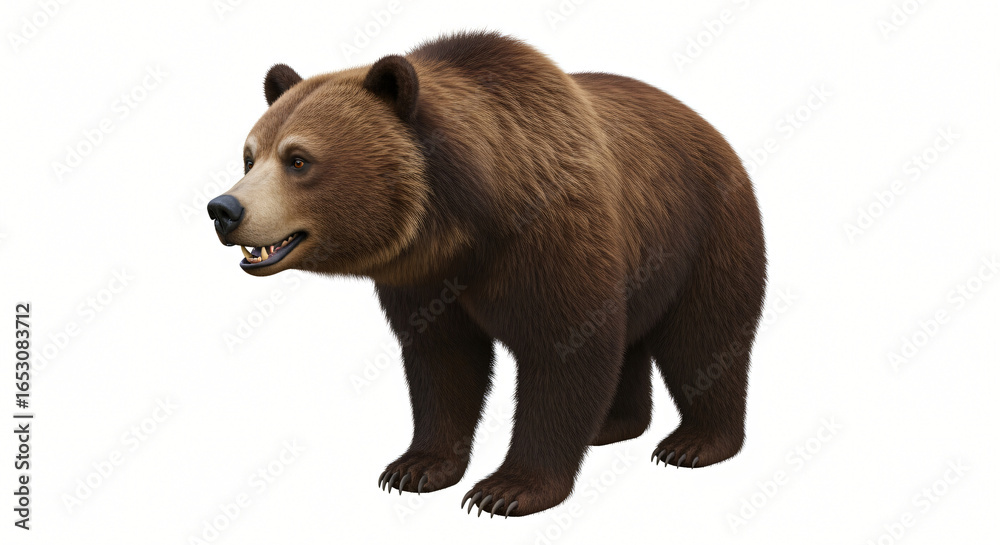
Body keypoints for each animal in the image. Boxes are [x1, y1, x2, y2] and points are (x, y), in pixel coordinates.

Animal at [207, 31, 767, 518]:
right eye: (250, 156)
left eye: (298, 159)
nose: (224, 209)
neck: (468, 222)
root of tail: (707, 125)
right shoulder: (425, 279)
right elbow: (443, 361)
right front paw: (415, 467)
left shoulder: (552, 237)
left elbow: (566, 352)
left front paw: (506, 490)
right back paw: (611, 424)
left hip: (704, 229)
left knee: (703, 334)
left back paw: (693, 443)